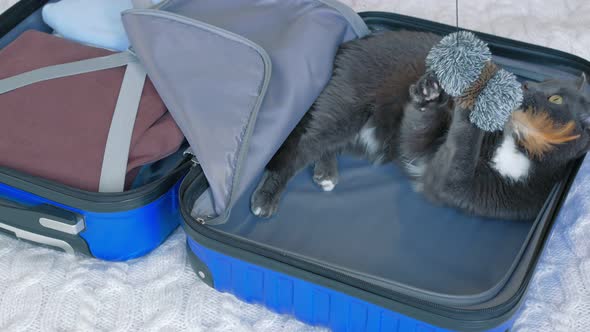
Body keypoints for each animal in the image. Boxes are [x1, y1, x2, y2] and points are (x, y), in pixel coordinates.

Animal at [251, 29, 590, 220]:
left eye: (555, 98)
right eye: (542, 82)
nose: (526, 85)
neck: (517, 146)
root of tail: (351, 43)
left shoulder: (454, 185)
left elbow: (454, 154)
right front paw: (444, 92)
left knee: (320, 141)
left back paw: (324, 172)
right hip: (348, 104)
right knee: (306, 143)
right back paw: (268, 196)